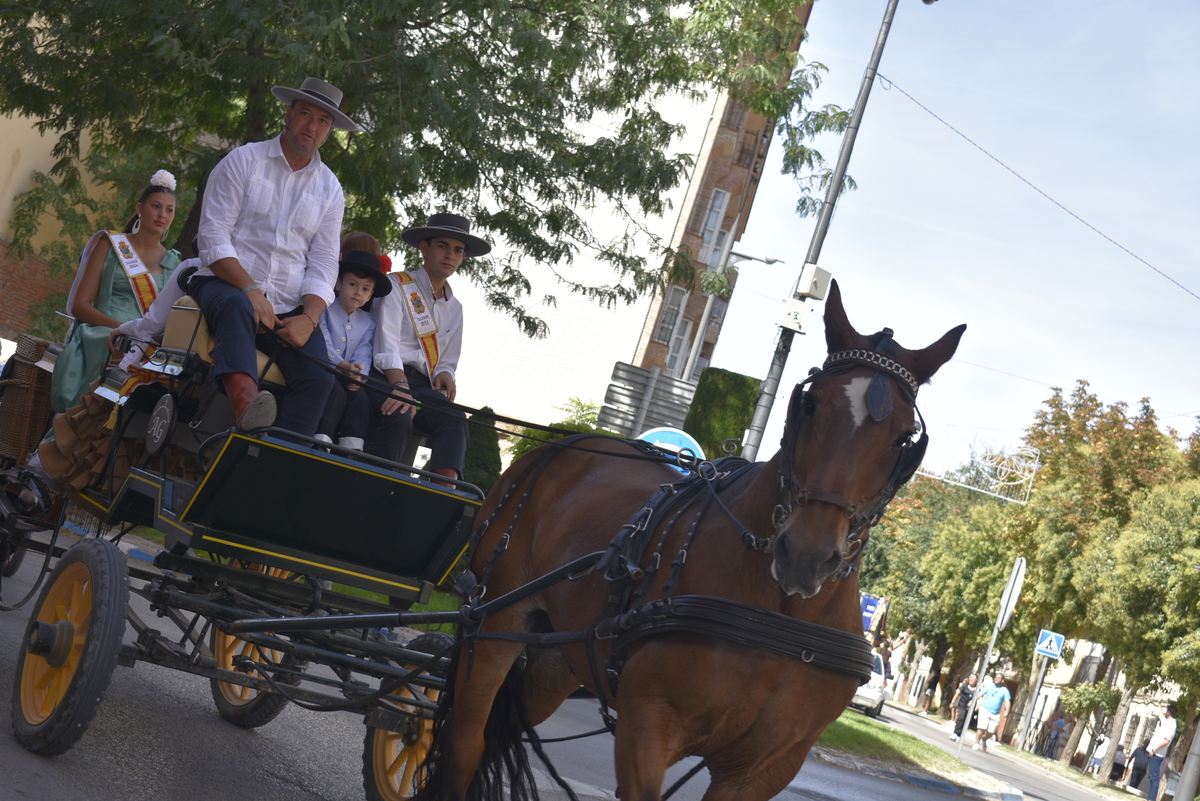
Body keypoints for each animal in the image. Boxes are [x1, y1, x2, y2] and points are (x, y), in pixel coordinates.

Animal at [417, 280, 960, 801]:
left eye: (904, 438)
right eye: (808, 405)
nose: (806, 555)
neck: (776, 614)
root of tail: (558, 445)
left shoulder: (763, 769)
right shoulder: (648, 722)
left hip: (554, 657)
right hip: (493, 629)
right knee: (465, 747)